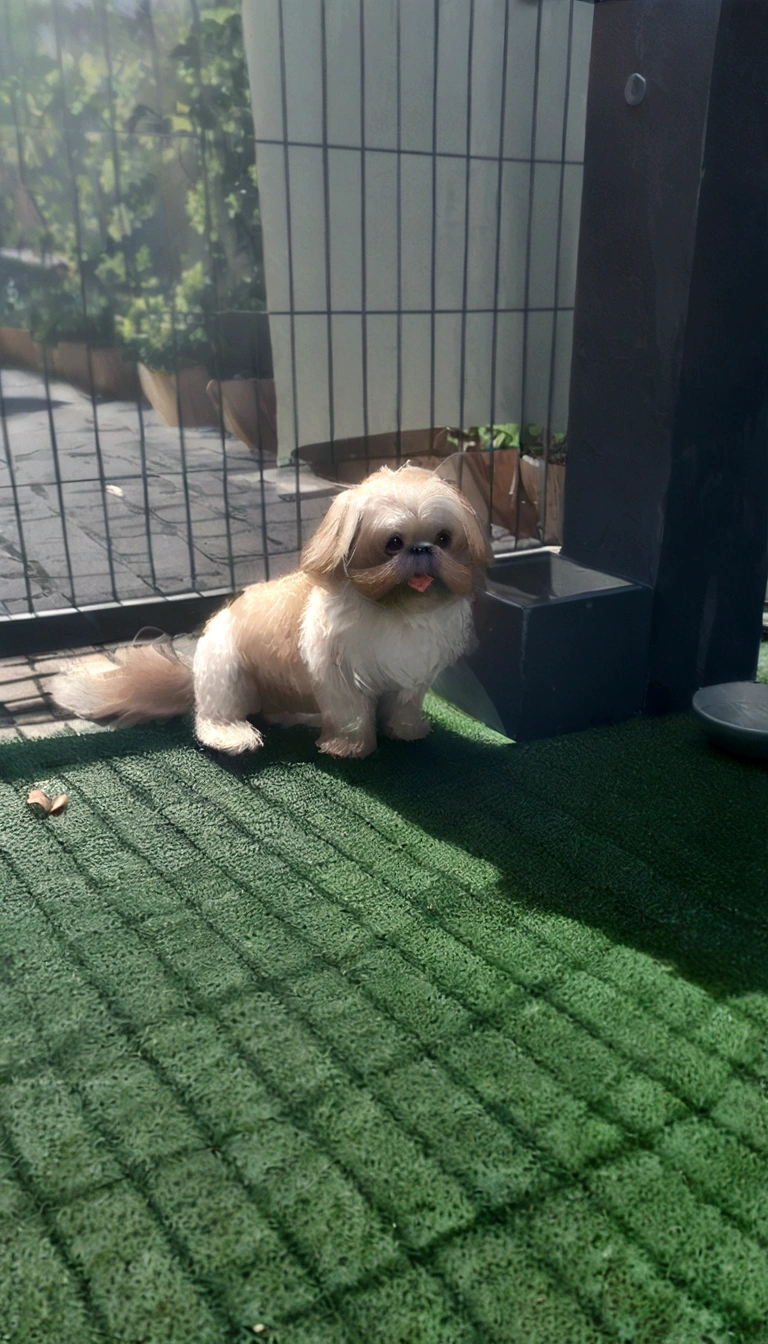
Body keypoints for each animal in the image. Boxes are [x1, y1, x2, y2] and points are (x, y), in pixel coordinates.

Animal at [55, 462, 497, 758]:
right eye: (392, 542)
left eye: (444, 538)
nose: (422, 549)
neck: (396, 610)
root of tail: (193, 674)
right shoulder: (337, 676)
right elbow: (352, 714)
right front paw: (349, 747)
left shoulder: (412, 674)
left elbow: (404, 705)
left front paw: (406, 731)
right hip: (227, 674)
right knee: (212, 719)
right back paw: (234, 737)